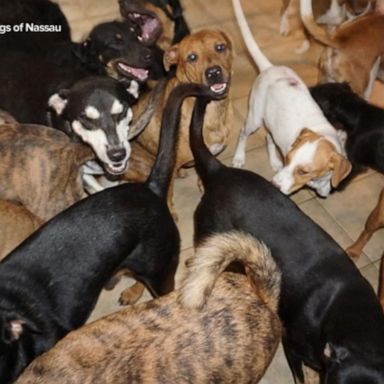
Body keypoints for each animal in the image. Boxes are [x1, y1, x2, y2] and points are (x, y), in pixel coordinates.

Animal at [231, 0, 352, 198]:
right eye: (287, 158)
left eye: (303, 171)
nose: (273, 184)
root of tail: (269, 67)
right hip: (254, 119)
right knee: (242, 133)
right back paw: (239, 157)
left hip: (271, 122)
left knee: (268, 137)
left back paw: (273, 161)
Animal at [310, 82, 382, 260]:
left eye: (317, 94)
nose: (308, 88)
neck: (359, 113)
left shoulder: (355, 162)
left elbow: (344, 177)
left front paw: (333, 189)